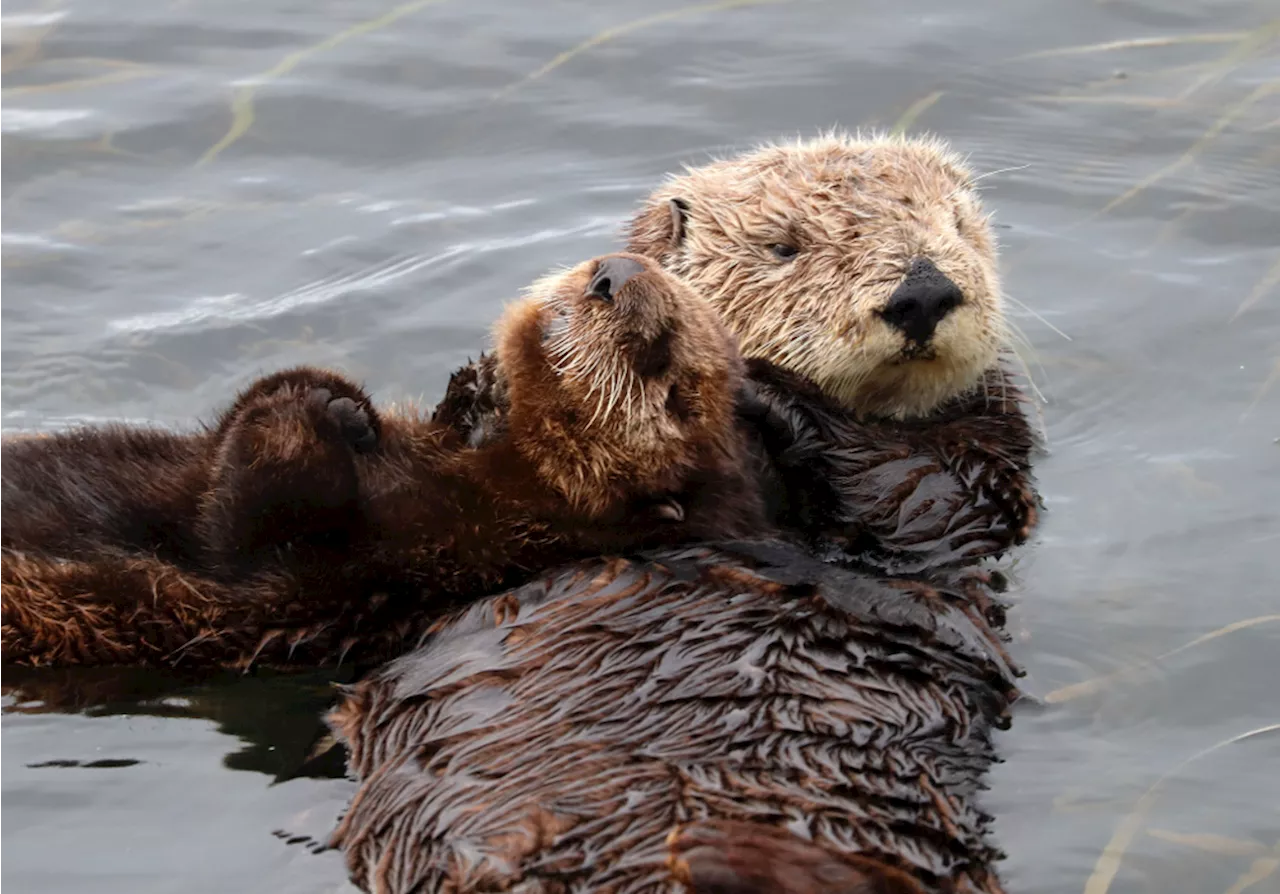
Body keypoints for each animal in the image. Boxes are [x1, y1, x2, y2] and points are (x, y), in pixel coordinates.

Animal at [0, 253, 768, 666]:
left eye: (663, 362)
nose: (614, 271)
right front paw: (389, 402)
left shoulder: (370, 568)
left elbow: (248, 518)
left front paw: (320, 413)